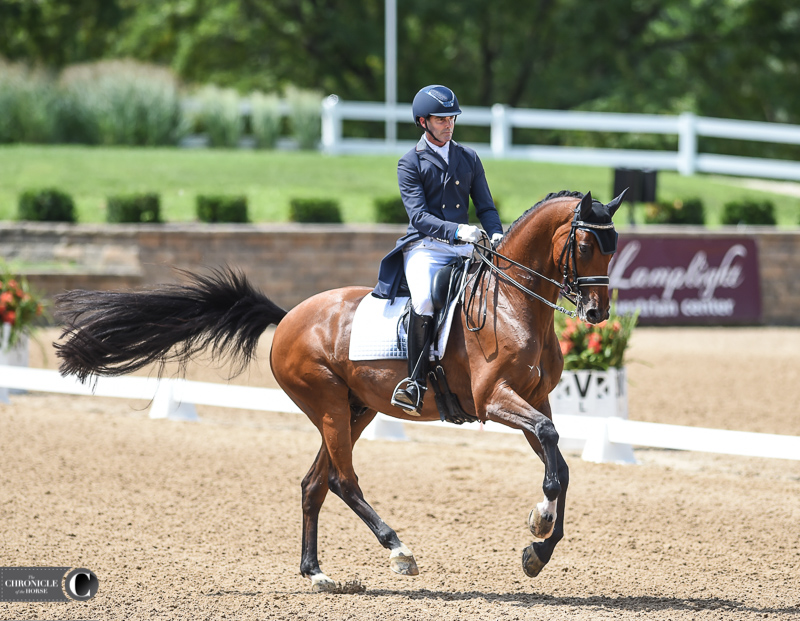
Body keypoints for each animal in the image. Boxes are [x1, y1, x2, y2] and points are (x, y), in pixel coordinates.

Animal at [53, 190, 620, 592]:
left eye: (613, 249)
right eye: (585, 245)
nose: (597, 313)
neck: (513, 304)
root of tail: (288, 317)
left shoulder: (533, 400)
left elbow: (558, 460)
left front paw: (538, 546)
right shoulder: (495, 400)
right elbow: (551, 447)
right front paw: (539, 529)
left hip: (354, 410)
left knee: (313, 484)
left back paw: (317, 572)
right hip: (326, 403)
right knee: (343, 481)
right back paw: (399, 551)